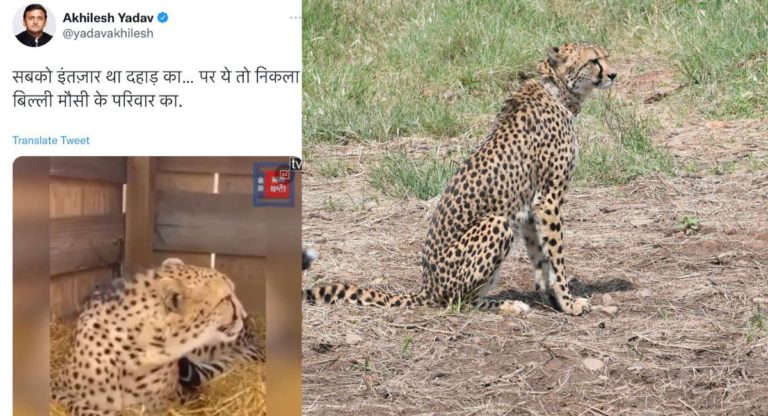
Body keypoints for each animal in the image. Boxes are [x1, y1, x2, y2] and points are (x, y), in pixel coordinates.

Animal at [304, 43, 616, 316]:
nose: (613, 74)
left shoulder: (529, 208)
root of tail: (426, 287)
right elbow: (557, 256)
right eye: (594, 61)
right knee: (458, 301)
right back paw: (506, 305)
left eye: (606, 56)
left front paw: (550, 299)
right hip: (496, 224)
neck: (557, 90)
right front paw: (569, 302)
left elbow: (540, 258)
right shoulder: (548, 199)